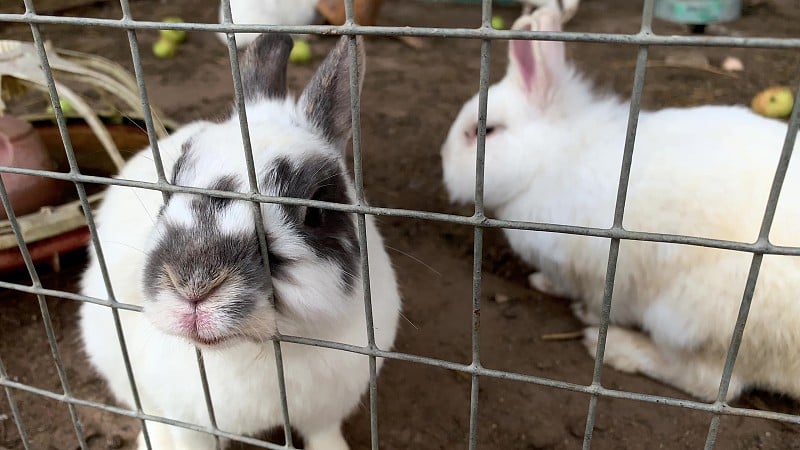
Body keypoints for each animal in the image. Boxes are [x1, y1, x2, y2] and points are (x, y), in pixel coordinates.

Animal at [79, 32, 400, 450]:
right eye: (173, 179)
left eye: (315, 209)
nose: (194, 286)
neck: (253, 349)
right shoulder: (189, 422)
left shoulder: (327, 409)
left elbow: (324, 435)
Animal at [440, 6, 800, 400]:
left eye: (485, 131)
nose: (443, 162)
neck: (552, 157)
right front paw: (542, 283)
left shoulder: (599, 271)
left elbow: (599, 299)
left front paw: (584, 312)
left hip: (692, 318)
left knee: (711, 383)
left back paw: (618, 348)